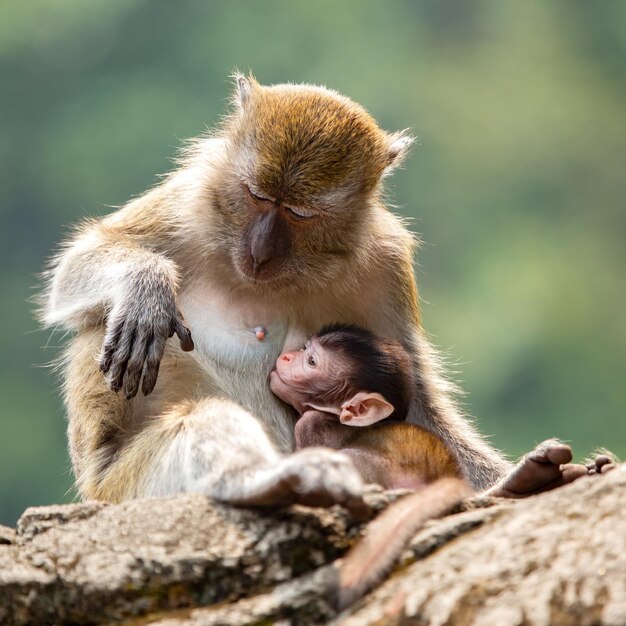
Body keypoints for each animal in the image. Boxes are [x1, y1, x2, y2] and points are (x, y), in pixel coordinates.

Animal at [44, 73, 528, 504]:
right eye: (257, 195)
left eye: (300, 213)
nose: (259, 252)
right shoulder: (189, 204)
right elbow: (74, 269)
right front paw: (146, 290)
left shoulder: (383, 263)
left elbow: (415, 401)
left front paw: (511, 478)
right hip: (122, 489)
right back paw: (262, 480)